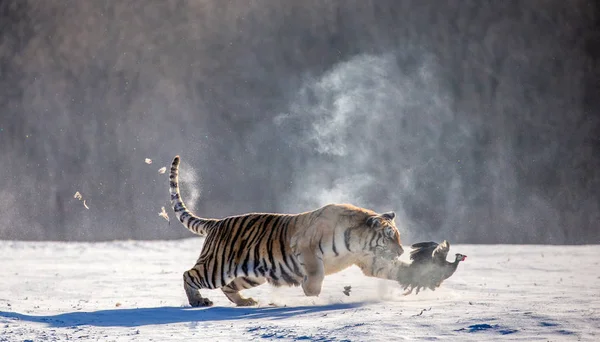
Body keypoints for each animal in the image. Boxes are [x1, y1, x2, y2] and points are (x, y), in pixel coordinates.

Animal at [169, 156, 420, 308]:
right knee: (189, 274)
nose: (400, 251)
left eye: (399, 237)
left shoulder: (370, 259)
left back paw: (245, 302)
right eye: (390, 237)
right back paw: (198, 301)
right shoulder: (307, 247)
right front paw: (310, 290)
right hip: (217, 266)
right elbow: (316, 271)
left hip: (251, 274)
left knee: (229, 286)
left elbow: (395, 270)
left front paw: (421, 275)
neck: (359, 243)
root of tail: (216, 222)